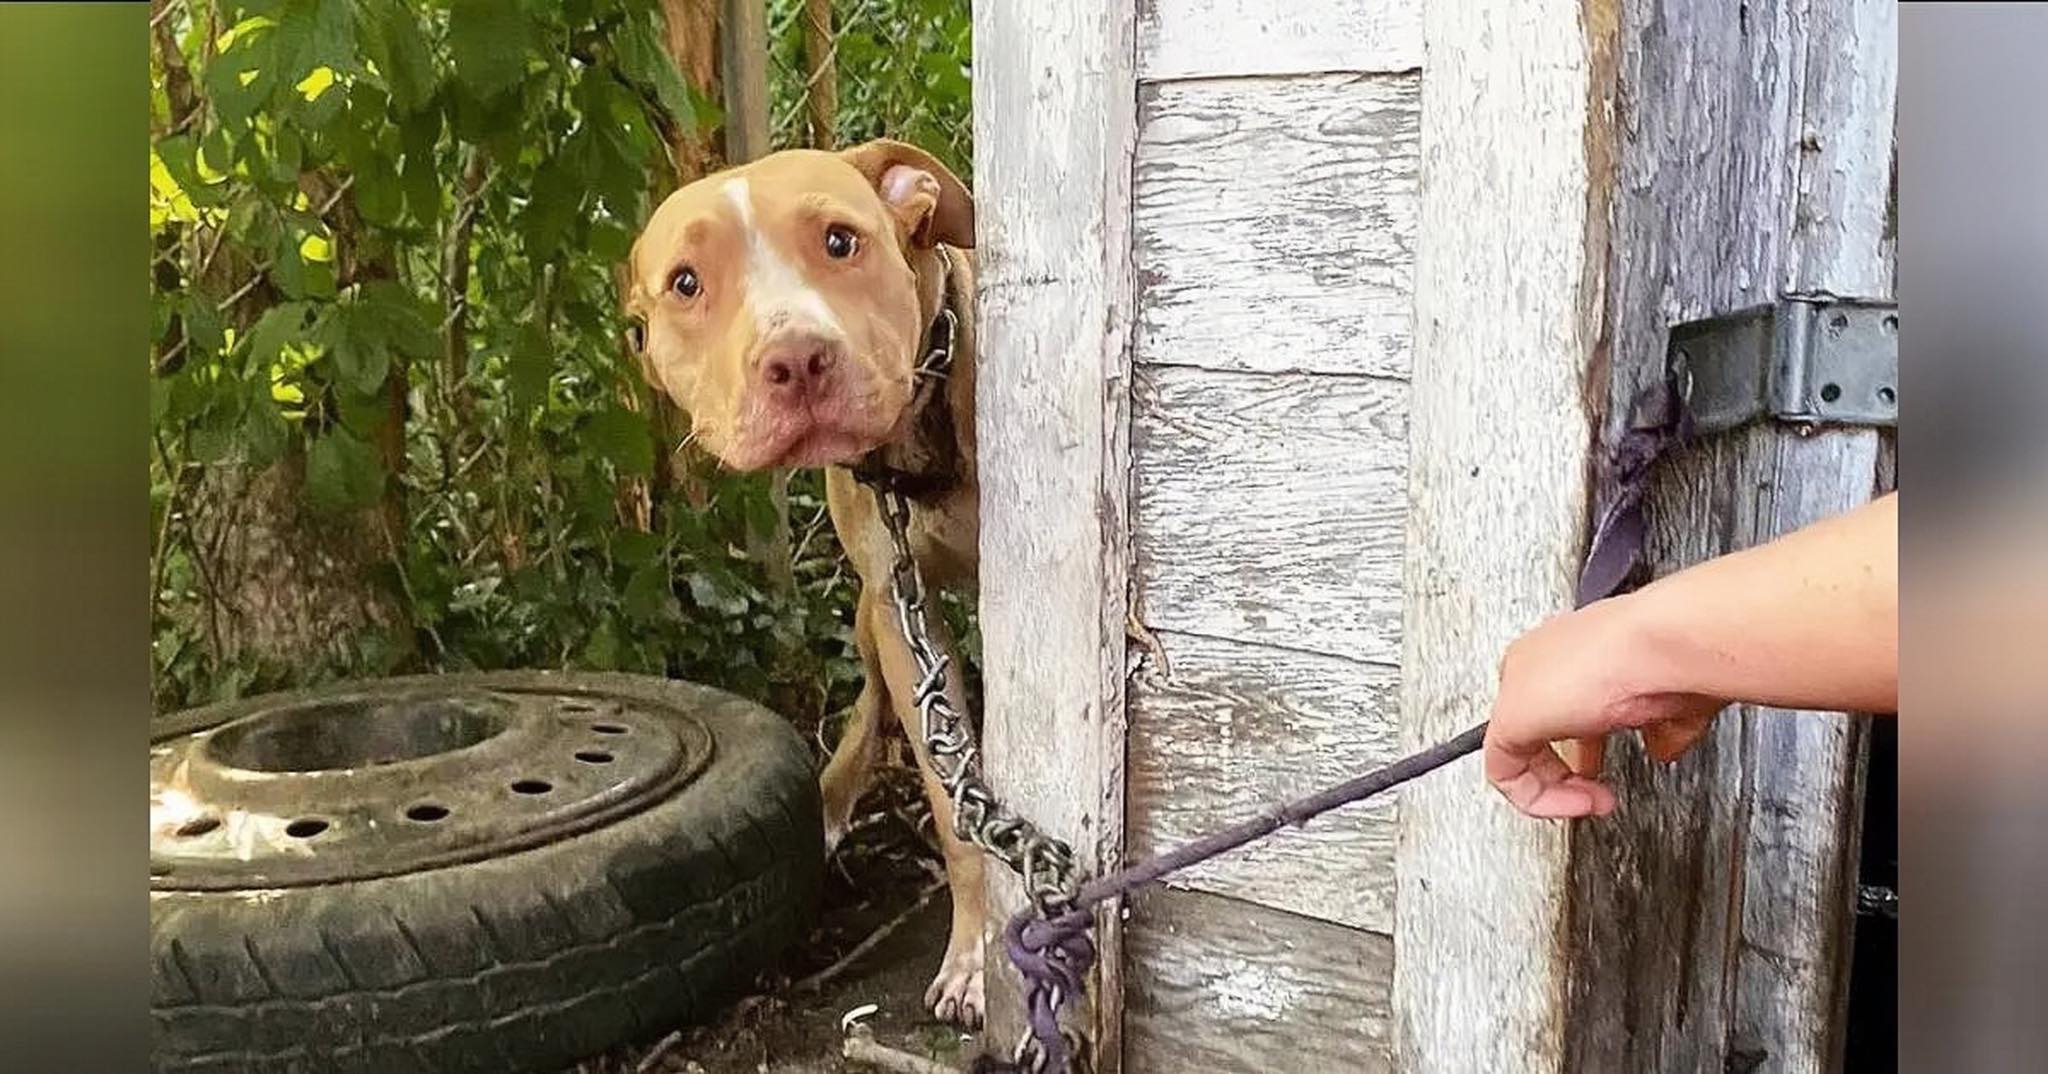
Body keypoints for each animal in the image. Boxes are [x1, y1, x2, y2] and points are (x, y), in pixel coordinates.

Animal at [622, 140, 991, 1024]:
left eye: (839, 240)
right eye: (686, 283)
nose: (795, 358)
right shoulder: (899, 609)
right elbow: (952, 802)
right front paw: (978, 949)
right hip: (868, 614)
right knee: (873, 702)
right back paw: (827, 799)